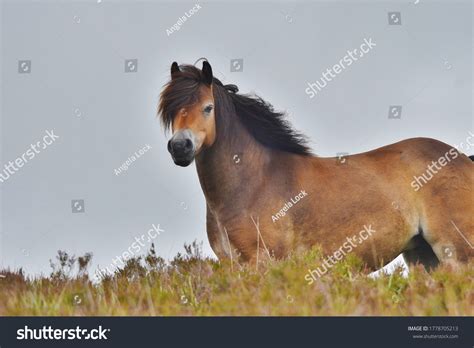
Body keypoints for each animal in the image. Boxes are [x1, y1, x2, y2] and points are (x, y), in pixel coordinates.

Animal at [157, 60, 472, 278]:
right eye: (170, 112)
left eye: (208, 107)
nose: (180, 147)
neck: (253, 183)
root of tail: (463, 159)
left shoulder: (263, 263)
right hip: (423, 256)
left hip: (456, 252)